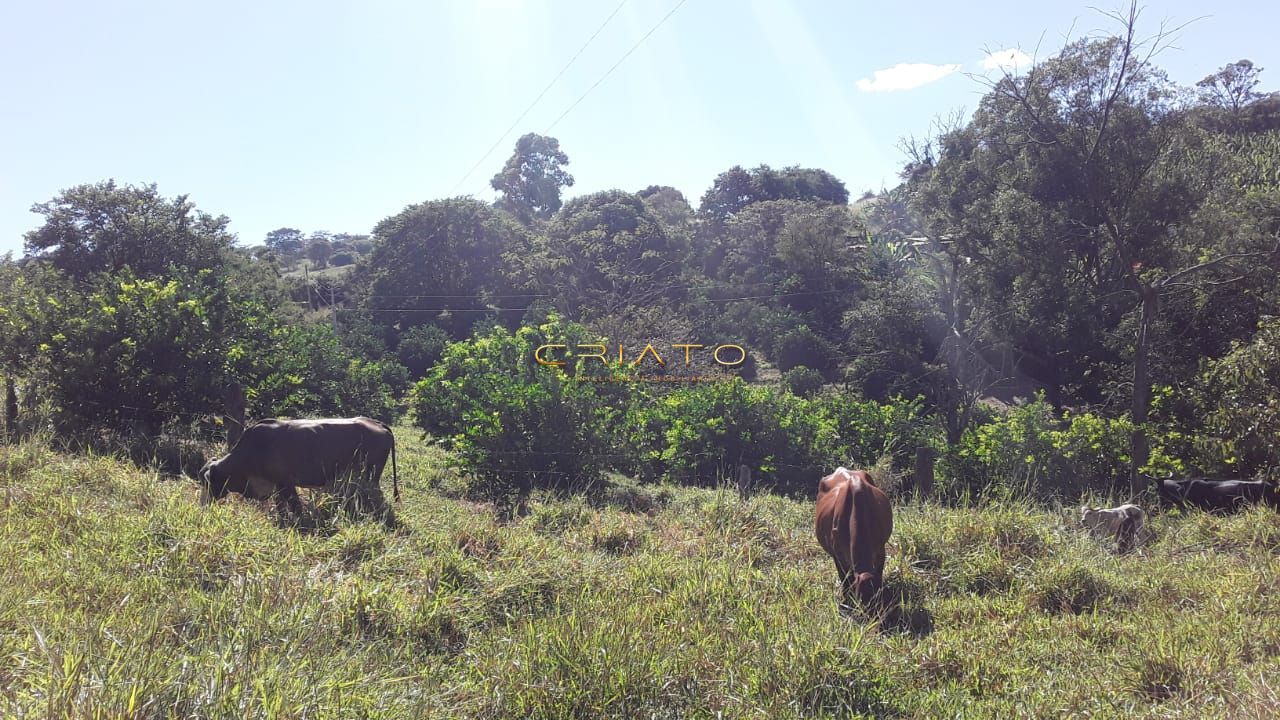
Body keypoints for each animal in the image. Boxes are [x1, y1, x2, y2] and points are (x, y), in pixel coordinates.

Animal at [199, 415, 396, 515]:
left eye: (208, 483)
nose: (203, 505)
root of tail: (377, 424)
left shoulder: (286, 483)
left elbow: (295, 506)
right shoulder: (277, 485)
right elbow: (280, 506)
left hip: (370, 477)